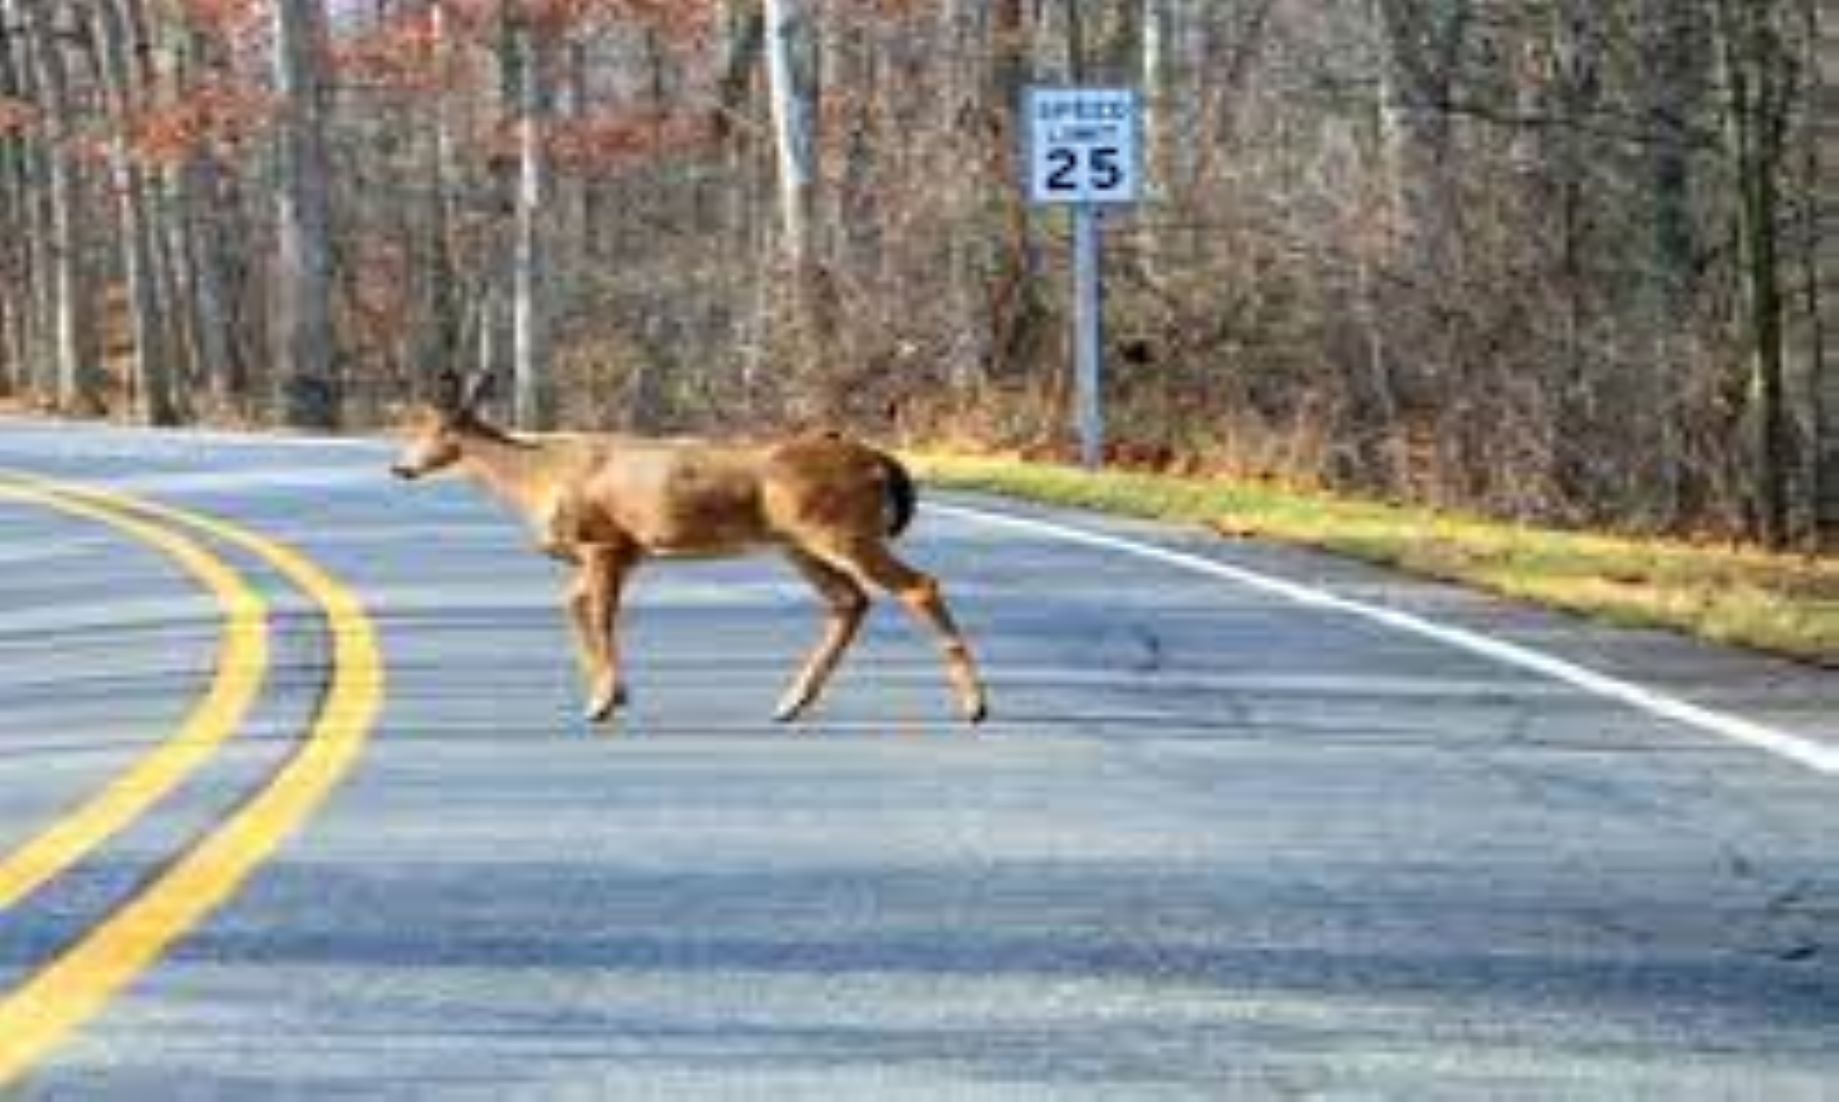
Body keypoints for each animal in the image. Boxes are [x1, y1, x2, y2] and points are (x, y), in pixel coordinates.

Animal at [389, 373, 993, 732]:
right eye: (411, 429)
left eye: (435, 431)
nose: (400, 467)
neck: (537, 476)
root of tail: (878, 463)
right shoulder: (620, 553)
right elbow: (577, 610)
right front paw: (614, 694)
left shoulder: (605, 541)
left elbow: (599, 617)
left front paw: (602, 702)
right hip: (799, 543)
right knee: (851, 601)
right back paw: (790, 703)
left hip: (840, 530)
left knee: (918, 586)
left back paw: (974, 706)